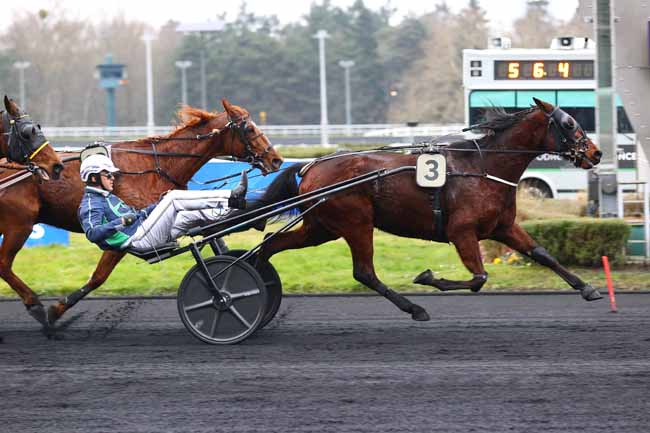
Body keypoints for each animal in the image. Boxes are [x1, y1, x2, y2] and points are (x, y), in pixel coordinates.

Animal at [0, 98, 284, 330]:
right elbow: (98, 277)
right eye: (248, 128)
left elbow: (217, 242)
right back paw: (35, 304)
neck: (157, 165)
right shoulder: (126, 236)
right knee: (4, 264)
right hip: (19, 224)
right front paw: (56, 310)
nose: (276, 160)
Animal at [249, 98, 604, 320]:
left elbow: (543, 254)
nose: (597, 153)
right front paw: (428, 276)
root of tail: (310, 166)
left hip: (321, 227)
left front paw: (588, 288)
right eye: (569, 123)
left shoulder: (501, 227)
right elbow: (479, 277)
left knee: (270, 245)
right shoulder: (462, 231)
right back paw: (414, 308)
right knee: (364, 272)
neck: (483, 166)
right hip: (355, 222)